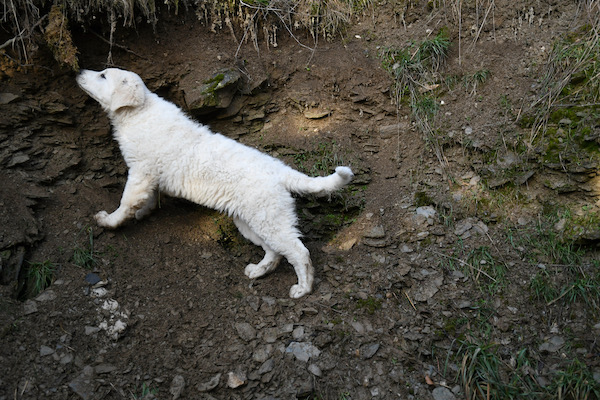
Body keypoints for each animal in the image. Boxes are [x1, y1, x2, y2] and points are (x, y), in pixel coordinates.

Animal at [77, 69, 354, 298]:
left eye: (103, 75)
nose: (79, 71)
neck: (138, 112)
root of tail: (280, 170)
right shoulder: (149, 175)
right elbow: (147, 199)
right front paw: (142, 213)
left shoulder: (140, 171)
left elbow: (126, 202)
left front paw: (109, 220)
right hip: (253, 221)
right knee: (274, 251)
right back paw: (258, 270)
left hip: (269, 218)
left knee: (299, 252)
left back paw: (303, 289)